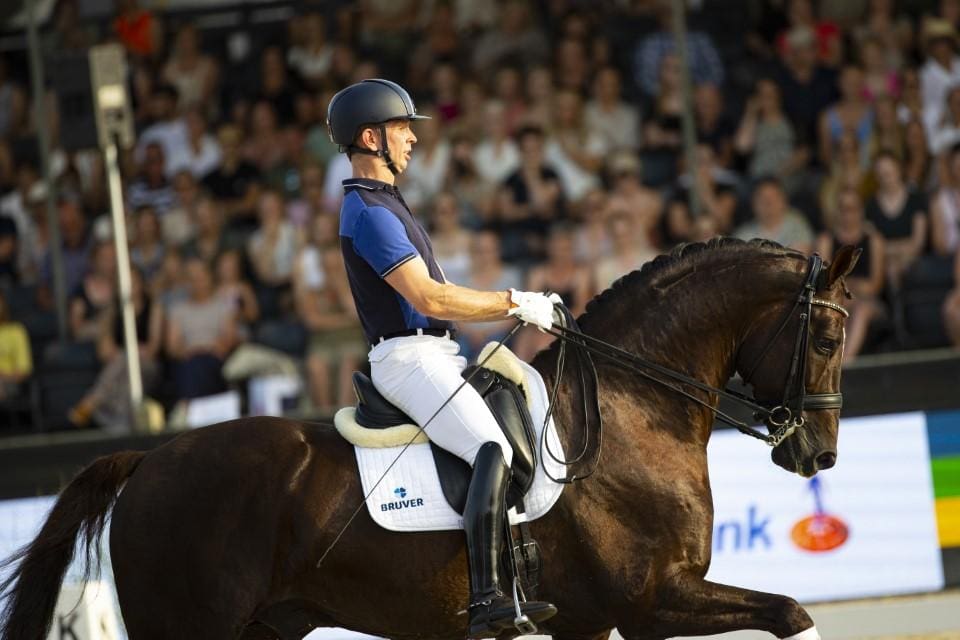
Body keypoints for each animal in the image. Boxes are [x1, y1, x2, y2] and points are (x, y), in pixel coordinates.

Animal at [0, 238, 859, 640]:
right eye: (824, 337)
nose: (818, 455)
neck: (629, 411)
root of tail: (149, 458)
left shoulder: (592, 619)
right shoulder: (652, 600)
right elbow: (791, 610)